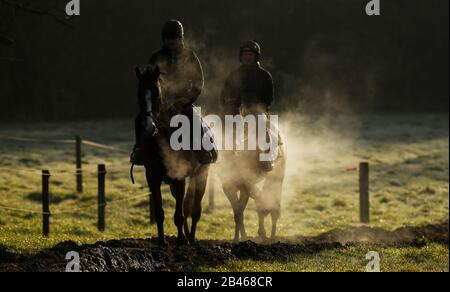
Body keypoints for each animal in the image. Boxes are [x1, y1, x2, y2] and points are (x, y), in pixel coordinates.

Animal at [134, 66, 210, 246]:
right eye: (139, 94)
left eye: (156, 93)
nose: (148, 126)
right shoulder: (152, 177)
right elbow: (160, 213)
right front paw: (162, 241)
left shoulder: (179, 178)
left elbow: (179, 215)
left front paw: (181, 241)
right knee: (186, 207)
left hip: (201, 174)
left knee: (194, 210)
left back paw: (191, 239)